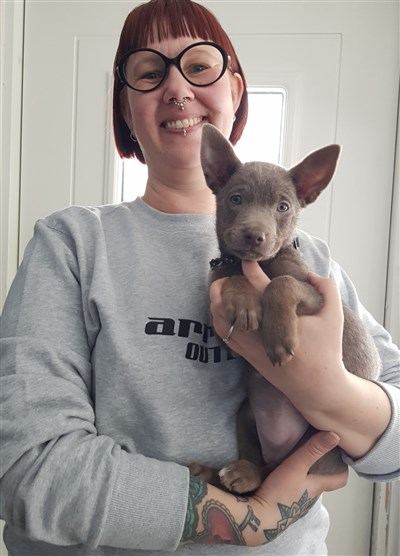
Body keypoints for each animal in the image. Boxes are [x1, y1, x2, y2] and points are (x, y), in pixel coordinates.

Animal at [189, 124, 381, 494]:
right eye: (235, 199)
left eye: (282, 206)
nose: (254, 236)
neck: (257, 265)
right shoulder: (224, 326)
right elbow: (226, 279)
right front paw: (243, 301)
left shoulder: (318, 294)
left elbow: (283, 283)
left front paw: (277, 336)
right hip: (245, 414)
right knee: (260, 469)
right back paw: (219, 473)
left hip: (321, 437)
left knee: (276, 470)